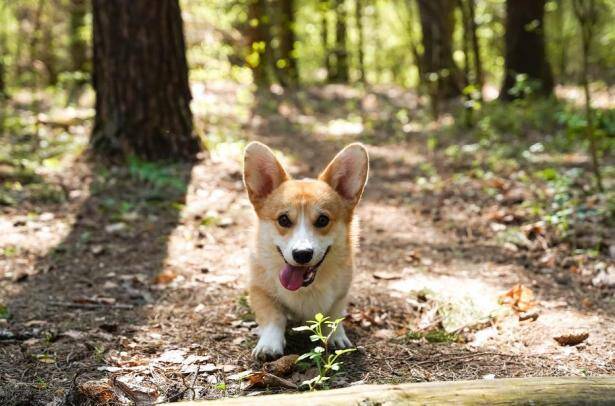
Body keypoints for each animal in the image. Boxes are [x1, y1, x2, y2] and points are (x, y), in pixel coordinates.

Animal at [244, 142, 370, 358]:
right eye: (283, 219)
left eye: (323, 220)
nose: (302, 254)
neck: (305, 289)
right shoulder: (260, 290)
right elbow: (274, 316)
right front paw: (269, 344)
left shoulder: (341, 293)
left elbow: (334, 315)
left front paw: (337, 336)